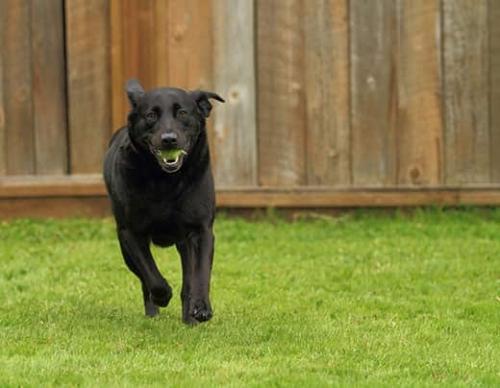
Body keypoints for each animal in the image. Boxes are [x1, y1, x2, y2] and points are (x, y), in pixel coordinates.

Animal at [103, 79, 225, 324]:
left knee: (188, 280)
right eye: (151, 115)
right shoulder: (130, 233)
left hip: (184, 243)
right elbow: (151, 275)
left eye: (183, 113)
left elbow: (200, 275)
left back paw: (189, 317)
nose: (169, 139)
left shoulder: (201, 230)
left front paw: (201, 307)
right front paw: (163, 296)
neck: (165, 181)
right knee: (144, 279)